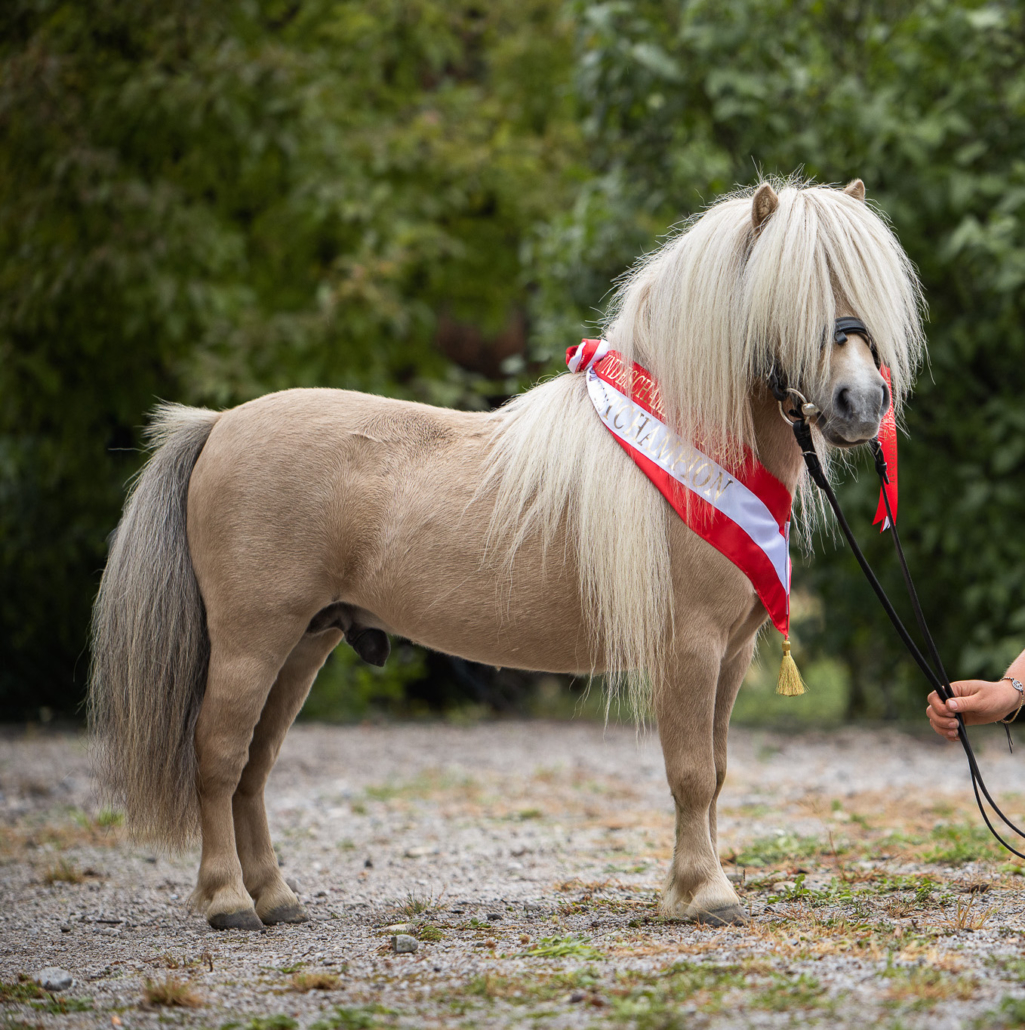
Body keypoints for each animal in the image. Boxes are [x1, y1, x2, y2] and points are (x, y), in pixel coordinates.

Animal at [86, 181, 923, 931]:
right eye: (789, 297)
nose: (859, 405)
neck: (689, 449)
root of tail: (220, 424)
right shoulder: (687, 647)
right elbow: (688, 772)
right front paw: (704, 895)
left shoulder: (733, 653)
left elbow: (714, 774)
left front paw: (694, 886)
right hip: (252, 640)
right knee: (220, 756)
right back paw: (227, 902)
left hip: (305, 642)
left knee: (254, 769)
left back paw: (275, 899)